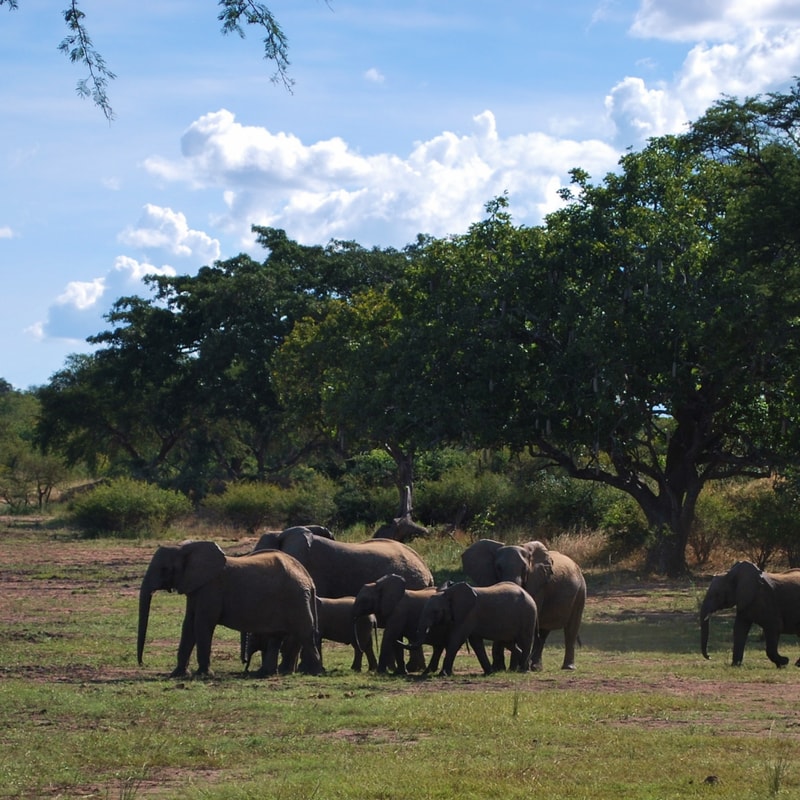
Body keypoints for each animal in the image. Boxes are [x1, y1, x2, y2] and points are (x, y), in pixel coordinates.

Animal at [137, 540, 322, 678]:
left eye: (164, 569)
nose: (141, 664)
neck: (185, 548)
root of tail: (309, 578)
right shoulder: (196, 587)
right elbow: (188, 625)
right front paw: (178, 674)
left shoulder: (211, 587)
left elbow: (202, 624)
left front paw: (204, 675)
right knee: (277, 636)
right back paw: (265, 673)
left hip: (296, 598)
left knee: (305, 633)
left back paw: (314, 672)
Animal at [244, 596, 378, 673]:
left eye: (254, 637)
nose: (246, 671)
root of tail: (373, 618)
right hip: (366, 627)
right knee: (368, 646)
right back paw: (371, 669)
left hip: (361, 625)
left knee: (359, 647)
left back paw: (355, 669)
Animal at [407, 581, 538, 676]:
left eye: (435, 612)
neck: (448, 594)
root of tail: (530, 596)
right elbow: (475, 643)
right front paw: (489, 673)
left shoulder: (469, 614)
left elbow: (456, 639)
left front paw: (443, 674)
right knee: (509, 643)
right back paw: (527, 666)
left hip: (528, 615)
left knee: (525, 641)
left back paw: (523, 670)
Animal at [461, 538, 586, 670]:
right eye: (498, 568)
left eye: (524, 568)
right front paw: (500, 668)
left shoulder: (537, 584)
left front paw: (512, 668)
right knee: (543, 631)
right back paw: (536, 667)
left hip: (580, 590)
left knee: (571, 628)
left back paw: (567, 667)